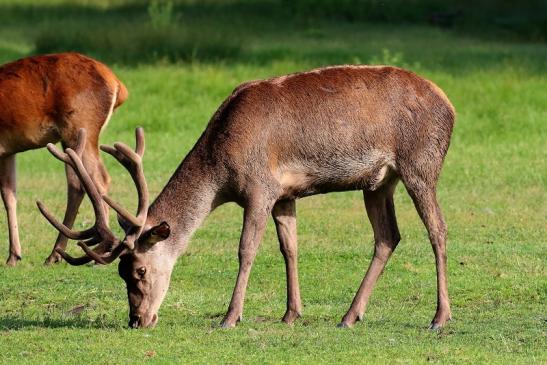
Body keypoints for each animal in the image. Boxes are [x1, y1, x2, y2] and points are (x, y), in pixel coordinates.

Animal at [0, 52, 127, 264]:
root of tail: (117, 83)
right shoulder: (8, 151)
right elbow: (9, 194)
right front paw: (14, 256)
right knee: (77, 184)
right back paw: (57, 254)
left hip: (81, 127)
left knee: (98, 179)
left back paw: (95, 254)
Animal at [38, 65, 456, 330]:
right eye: (122, 272)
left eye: (139, 270)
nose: (137, 320)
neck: (221, 170)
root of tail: (450, 105)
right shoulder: (285, 194)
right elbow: (290, 248)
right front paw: (291, 314)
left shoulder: (259, 188)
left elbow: (246, 249)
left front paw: (230, 317)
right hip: (378, 182)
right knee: (388, 236)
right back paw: (350, 316)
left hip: (421, 164)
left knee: (437, 229)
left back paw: (439, 317)